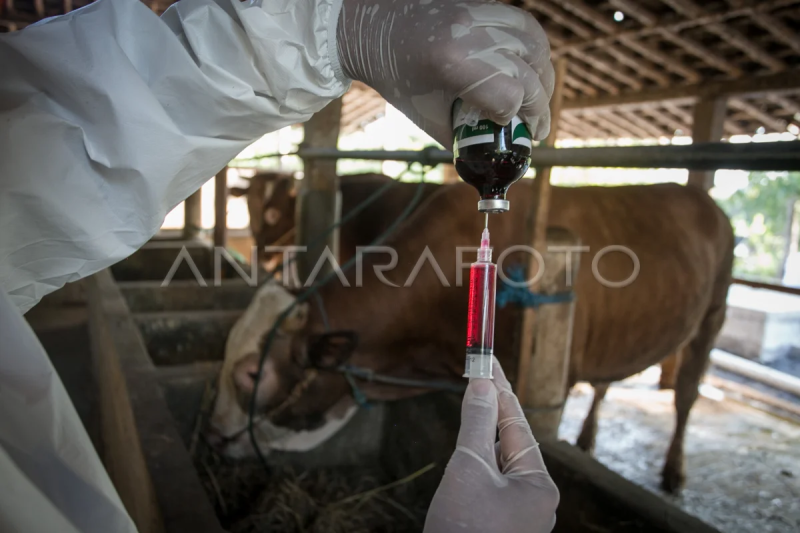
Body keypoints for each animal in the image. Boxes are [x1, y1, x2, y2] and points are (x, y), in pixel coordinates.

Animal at [209, 178, 736, 490]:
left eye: (253, 373)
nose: (214, 437)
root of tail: (701, 197)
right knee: (607, 382)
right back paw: (588, 439)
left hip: (714, 313)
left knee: (687, 391)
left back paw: (673, 470)